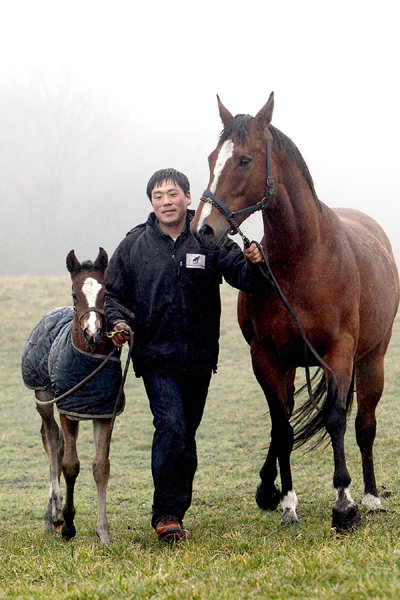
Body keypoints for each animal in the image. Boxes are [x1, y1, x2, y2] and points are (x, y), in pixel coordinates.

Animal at [21, 246, 125, 548]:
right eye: (74, 293)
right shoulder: (69, 410)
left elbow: (100, 467)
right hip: (43, 396)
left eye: (106, 293)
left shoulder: (102, 413)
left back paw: (51, 515)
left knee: (55, 444)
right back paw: (54, 515)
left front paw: (103, 533)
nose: (93, 333)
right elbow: (70, 465)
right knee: (51, 439)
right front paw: (68, 525)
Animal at [191, 94, 400, 528]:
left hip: (372, 360)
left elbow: (336, 419)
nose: (203, 229)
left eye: (244, 160)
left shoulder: (339, 353)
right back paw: (270, 488)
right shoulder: (267, 357)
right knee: (284, 419)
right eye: (212, 158)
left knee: (364, 424)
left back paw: (371, 496)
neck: (303, 260)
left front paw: (345, 504)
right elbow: (281, 427)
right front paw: (286, 501)